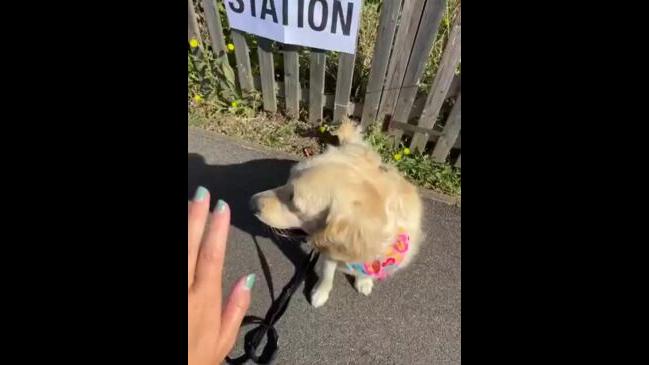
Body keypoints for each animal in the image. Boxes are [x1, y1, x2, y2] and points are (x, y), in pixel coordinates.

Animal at [247, 120, 420, 308]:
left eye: (294, 201)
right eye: (287, 182)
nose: (252, 203)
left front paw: (363, 281)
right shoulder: (329, 252)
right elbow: (327, 274)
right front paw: (320, 293)